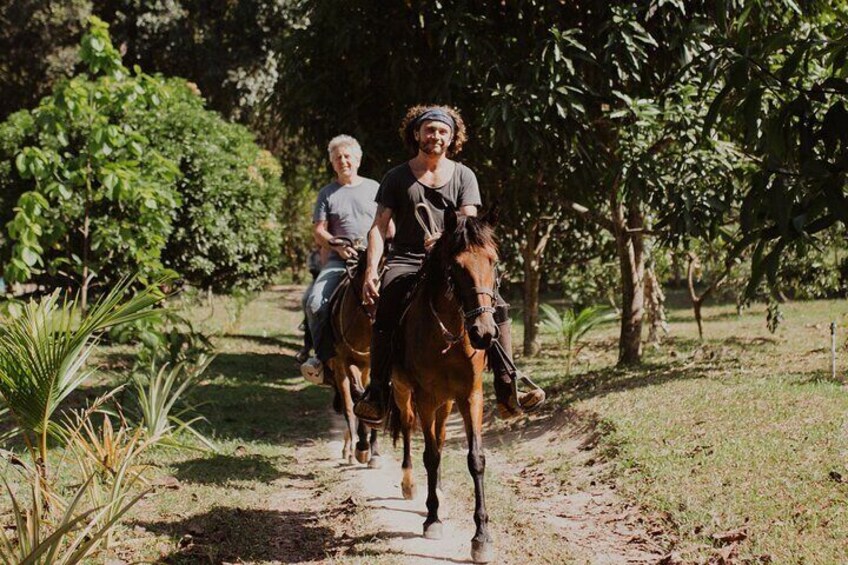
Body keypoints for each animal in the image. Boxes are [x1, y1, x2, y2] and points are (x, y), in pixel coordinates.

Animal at [390, 213, 500, 564]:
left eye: (493, 261)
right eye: (455, 267)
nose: (483, 333)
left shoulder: (470, 397)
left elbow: (475, 459)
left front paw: (482, 537)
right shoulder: (425, 397)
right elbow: (431, 456)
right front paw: (432, 519)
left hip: (446, 403)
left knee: (438, 433)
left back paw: (434, 489)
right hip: (405, 393)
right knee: (409, 428)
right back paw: (410, 484)